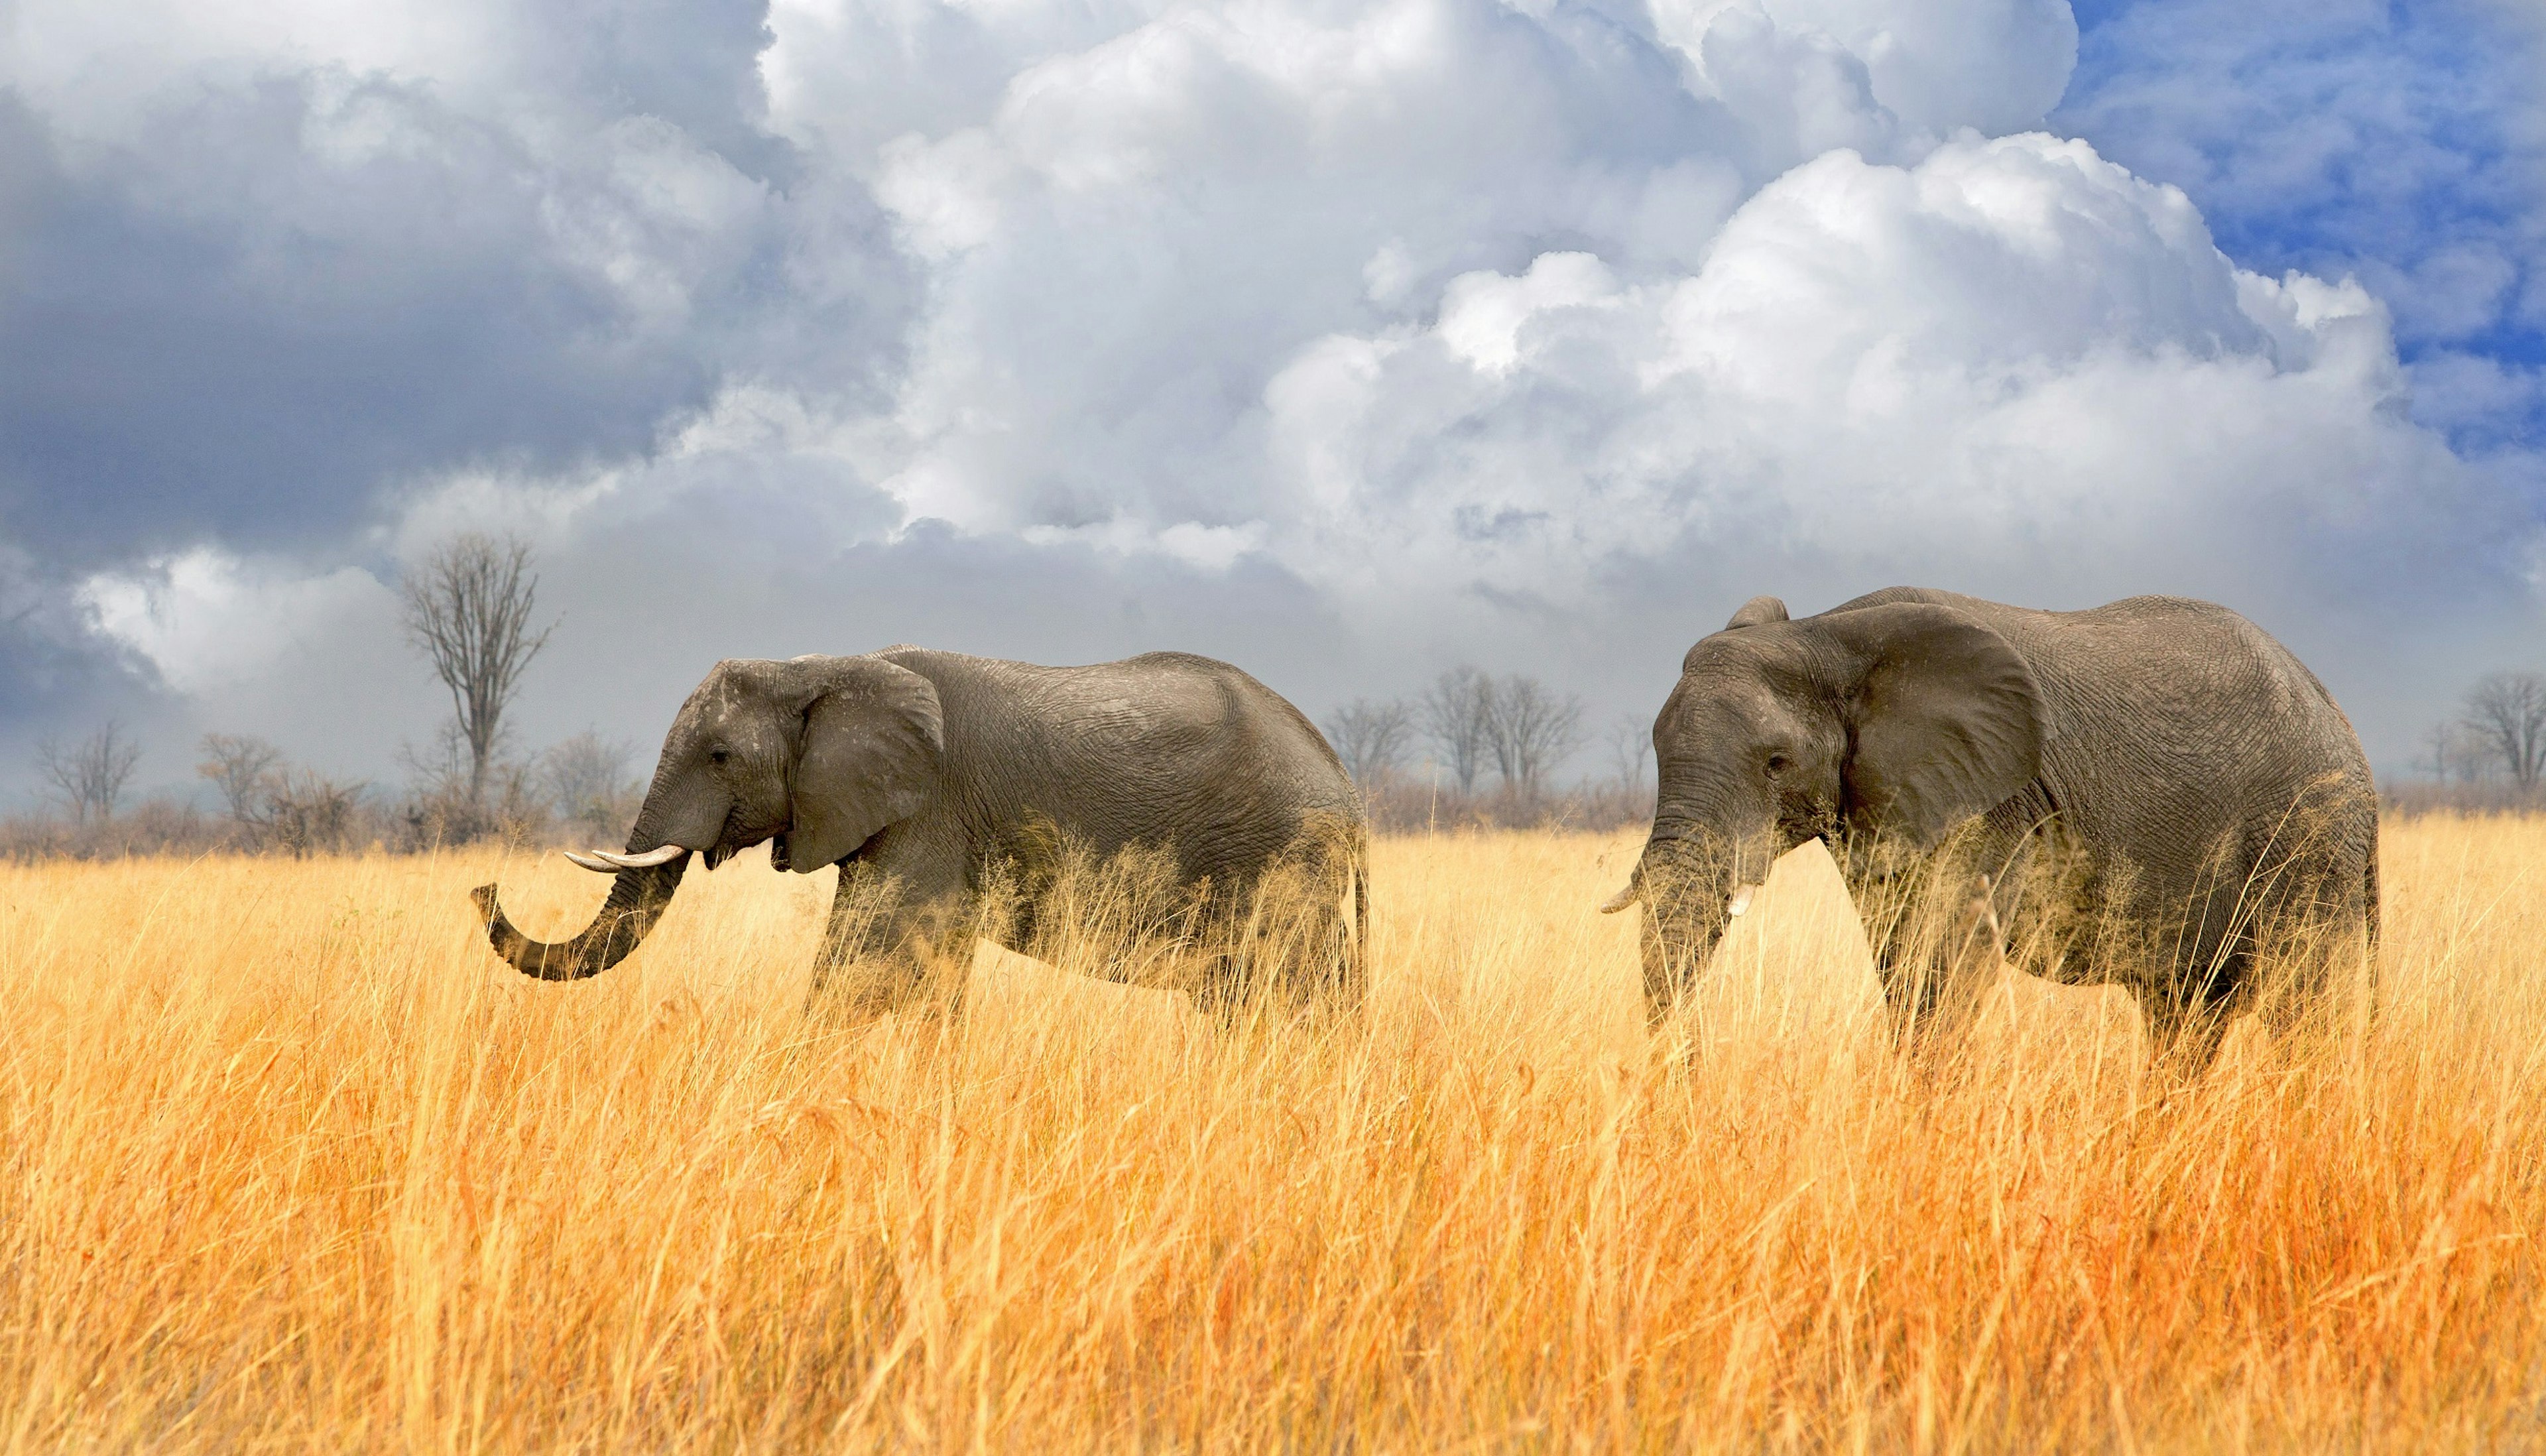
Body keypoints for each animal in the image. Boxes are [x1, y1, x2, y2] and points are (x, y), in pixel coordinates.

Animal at [471, 648, 1374, 1012]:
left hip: (1281, 859)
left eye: (720, 755)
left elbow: (864, 964)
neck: (822, 666)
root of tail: (1348, 789)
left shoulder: (928, 810)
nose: (483, 884)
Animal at [1608, 585, 2383, 1063]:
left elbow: (1944, 962)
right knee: (2185, 1016)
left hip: (2310, 839)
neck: (1821, 637)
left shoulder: (1993, 801)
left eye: (1776, 763)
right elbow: (1903, 955)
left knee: (2304, 1006)